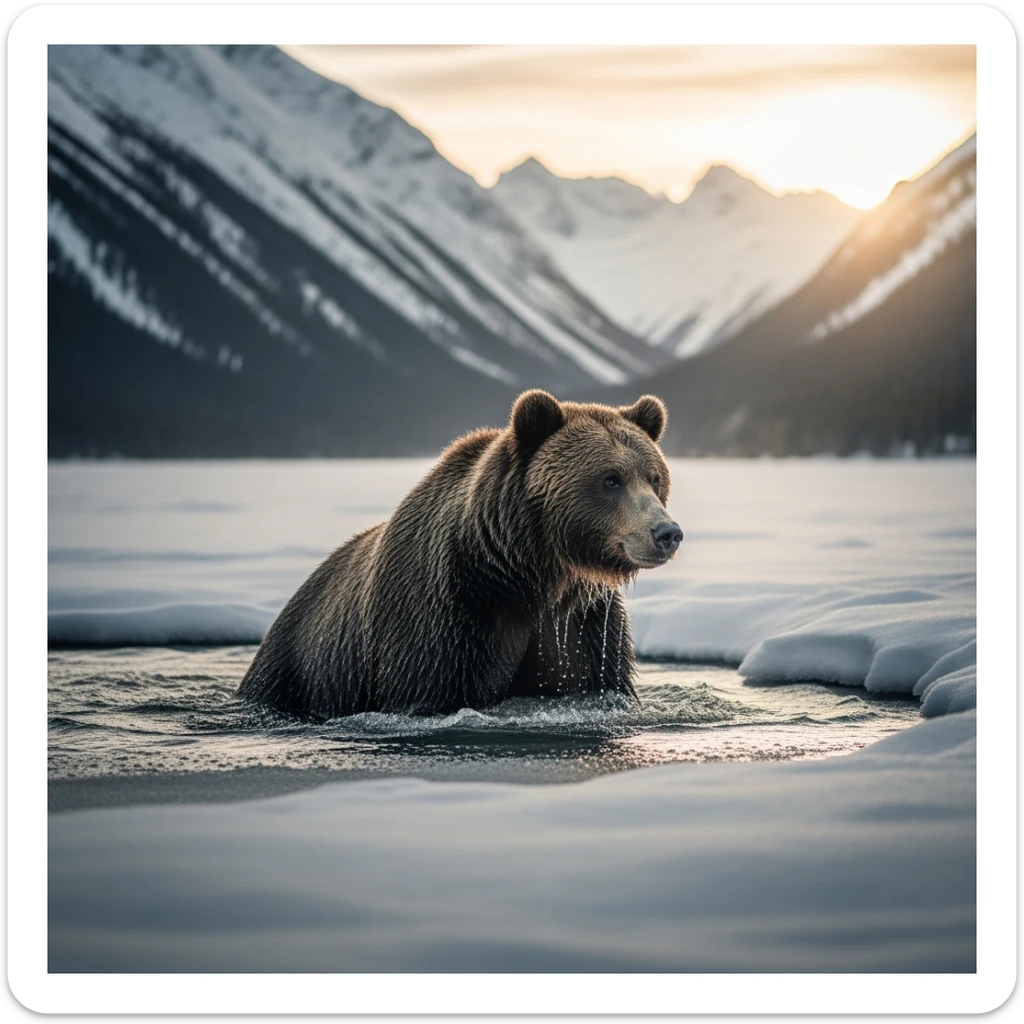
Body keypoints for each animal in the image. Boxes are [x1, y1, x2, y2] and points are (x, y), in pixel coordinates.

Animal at [237, 389, 682, 718]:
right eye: (611, 479)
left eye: (654, 477)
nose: (667, 532)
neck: (530, 573)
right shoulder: (444, 616)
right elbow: (430, 688)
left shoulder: (582, 622)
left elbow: (591, 680)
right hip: (299, 665)